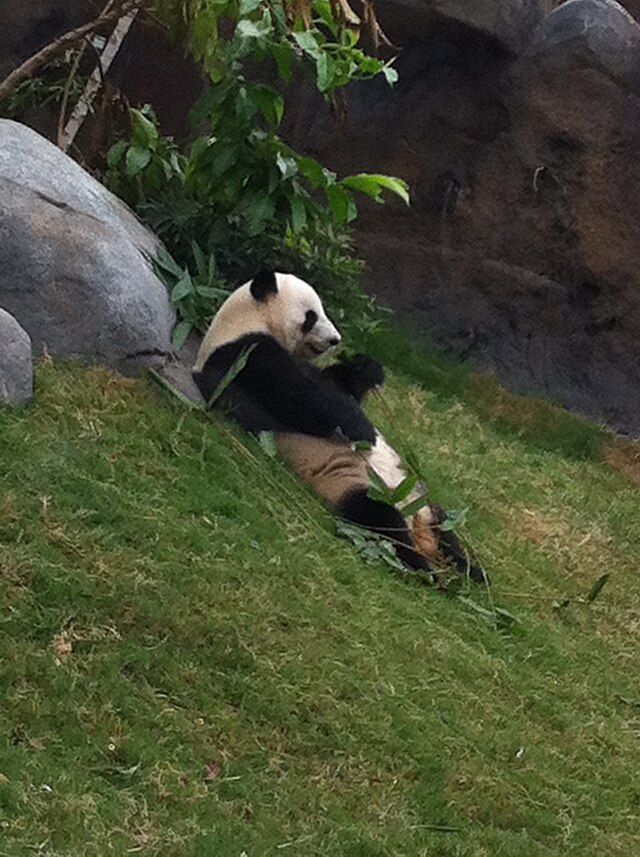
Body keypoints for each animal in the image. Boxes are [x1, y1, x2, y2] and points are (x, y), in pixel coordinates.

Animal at [192, 270, 488, 584]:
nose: (336, 340)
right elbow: (306, 402)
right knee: (380, 521)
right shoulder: (246, 354)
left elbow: (342, 386)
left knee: (445, 532)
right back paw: (428, 572)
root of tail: (415, 525)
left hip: (421, 501)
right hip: (356, 486)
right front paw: (364, 431)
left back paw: (473, 573)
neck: (245, 320)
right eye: (311, 316)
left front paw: (366, 367)